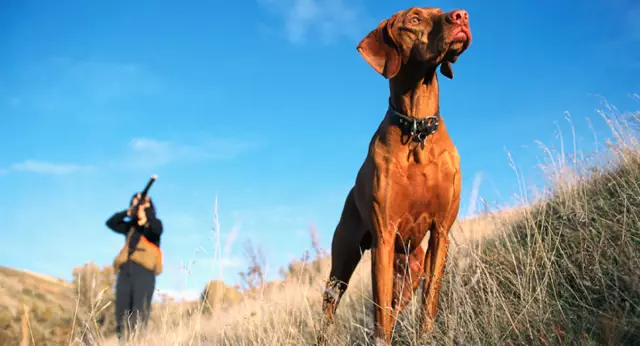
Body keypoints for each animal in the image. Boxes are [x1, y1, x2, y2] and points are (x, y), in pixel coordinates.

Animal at [318, 6, 472, 346]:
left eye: (441, 11)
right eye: (414, 20)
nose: (461, 16)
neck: (416, 130)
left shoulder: (441, 232)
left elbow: (430, 302)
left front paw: (427, 336)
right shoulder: (384, 238)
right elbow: (381, 321)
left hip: (410, 271)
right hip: (345, 262)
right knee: (330, 306)